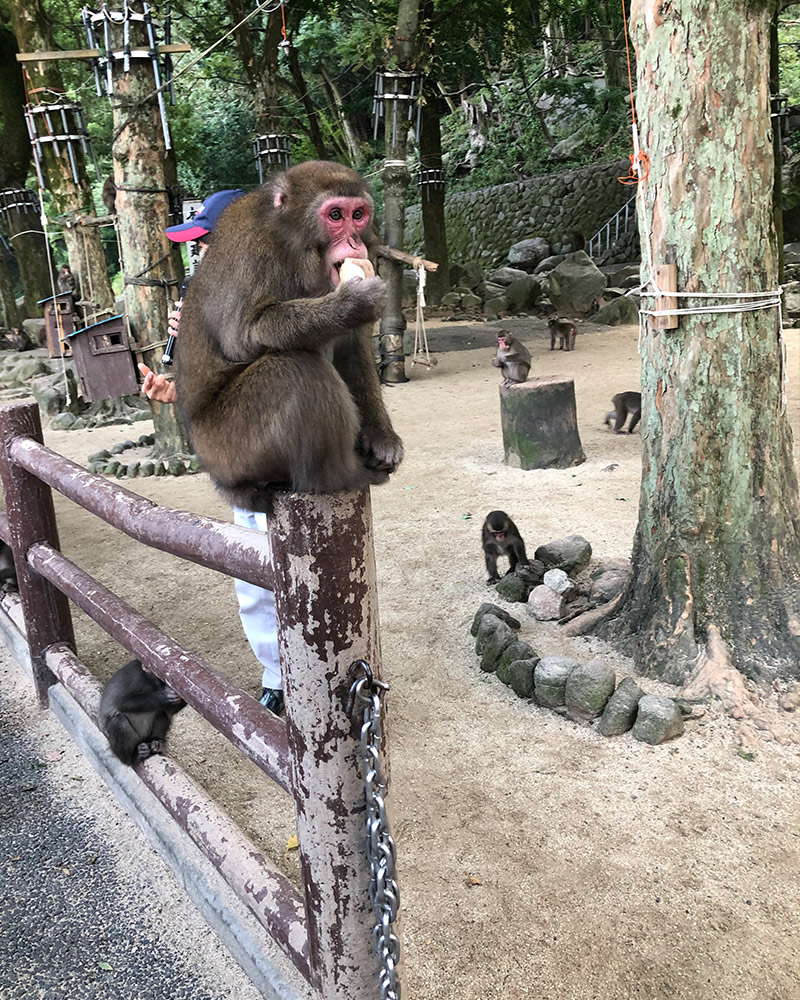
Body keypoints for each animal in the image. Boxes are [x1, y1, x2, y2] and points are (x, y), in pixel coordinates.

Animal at [173, 163, 404, 512]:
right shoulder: (253, 249)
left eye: (358, 215)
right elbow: (242, 336)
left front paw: (381, 437)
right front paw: (352, 304)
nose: (354, 241)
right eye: (335, 215)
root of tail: (220, 477)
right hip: (229, 450)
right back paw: (341, 475)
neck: (295, 247)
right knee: (293, 369)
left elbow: (353, 348)